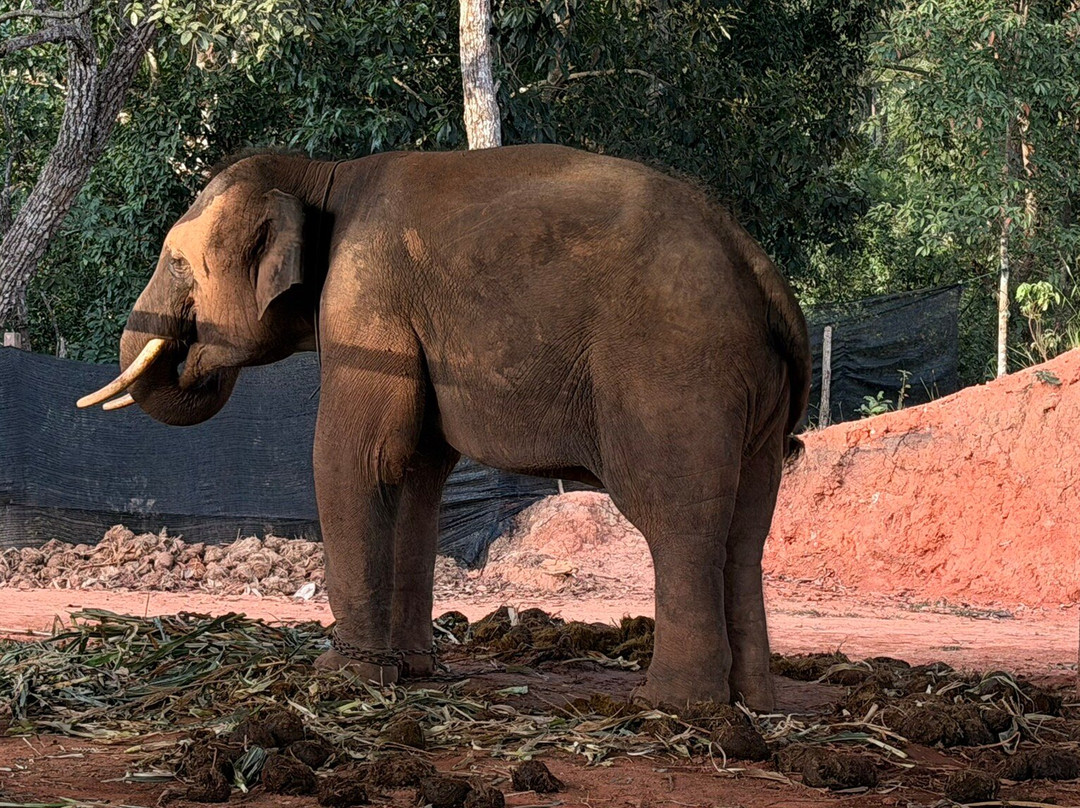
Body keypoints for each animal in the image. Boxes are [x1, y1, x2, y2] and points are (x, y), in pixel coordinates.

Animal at [79, 144, 810, 709]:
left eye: (178, 262)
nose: (192, 356)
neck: (322, 171)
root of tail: (754, 262)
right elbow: (416, 474)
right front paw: (411, 672)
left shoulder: (366, 300)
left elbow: (356, 457)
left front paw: (344, 675)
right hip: (751, 389)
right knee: (746, 526)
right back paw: (752, 702)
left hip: (674, 373)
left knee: (677, 516)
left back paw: (675, 706)